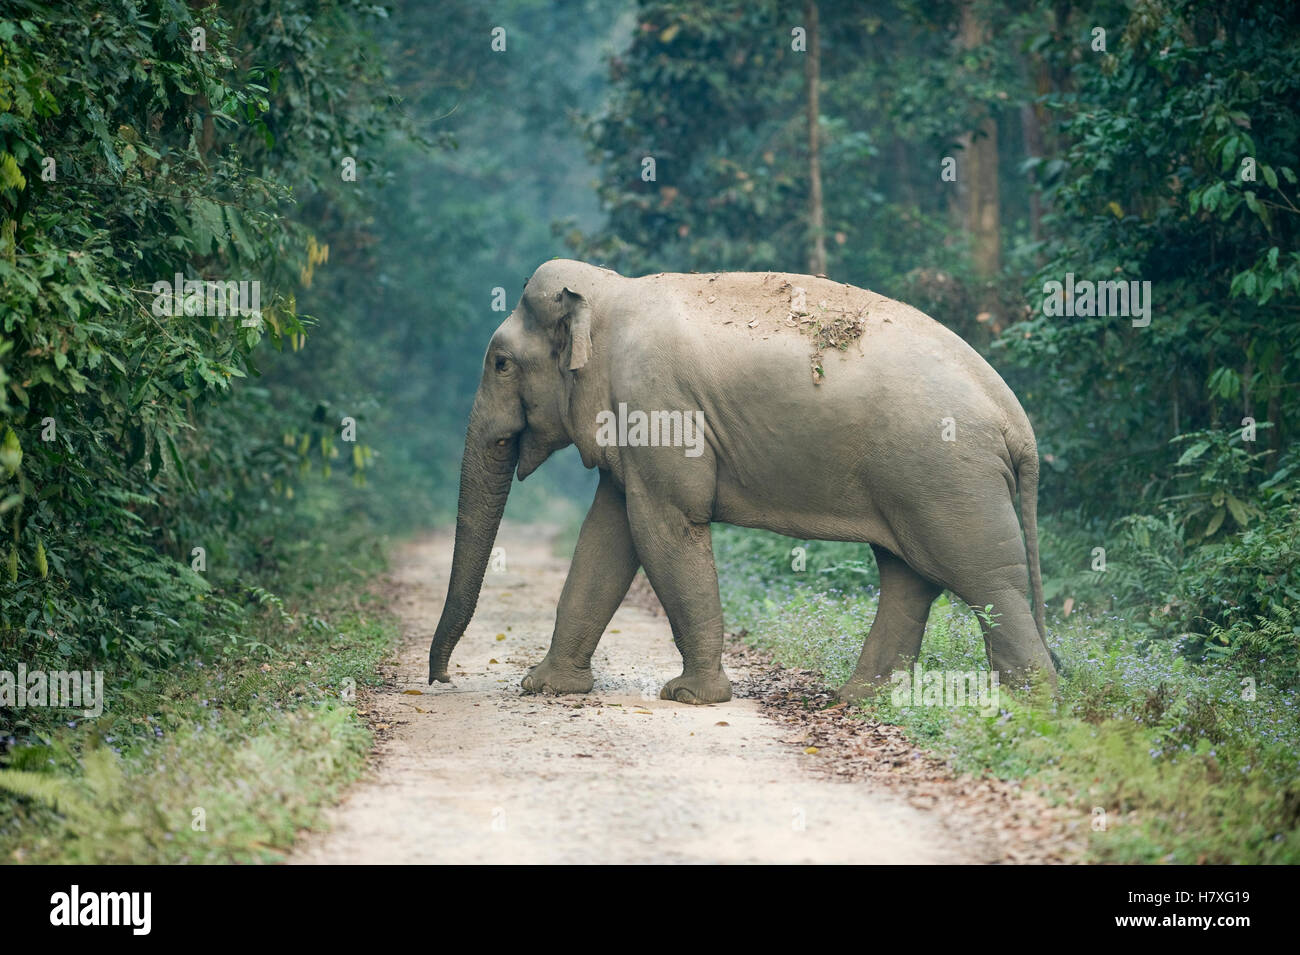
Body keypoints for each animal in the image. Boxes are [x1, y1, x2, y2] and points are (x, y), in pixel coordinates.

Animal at [427, 258, 1057, 705]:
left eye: (500, 363)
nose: (441, 680)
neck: (609, 294)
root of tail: (1017, 421)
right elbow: (607, 535)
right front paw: (546, 687)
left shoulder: (657, 403)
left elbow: (665, 525)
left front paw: (691, 696)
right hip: (917, 476)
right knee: (910, 576)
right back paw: (855, 701)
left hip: (947, 472)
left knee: (984, 579)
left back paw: (1030, 711)